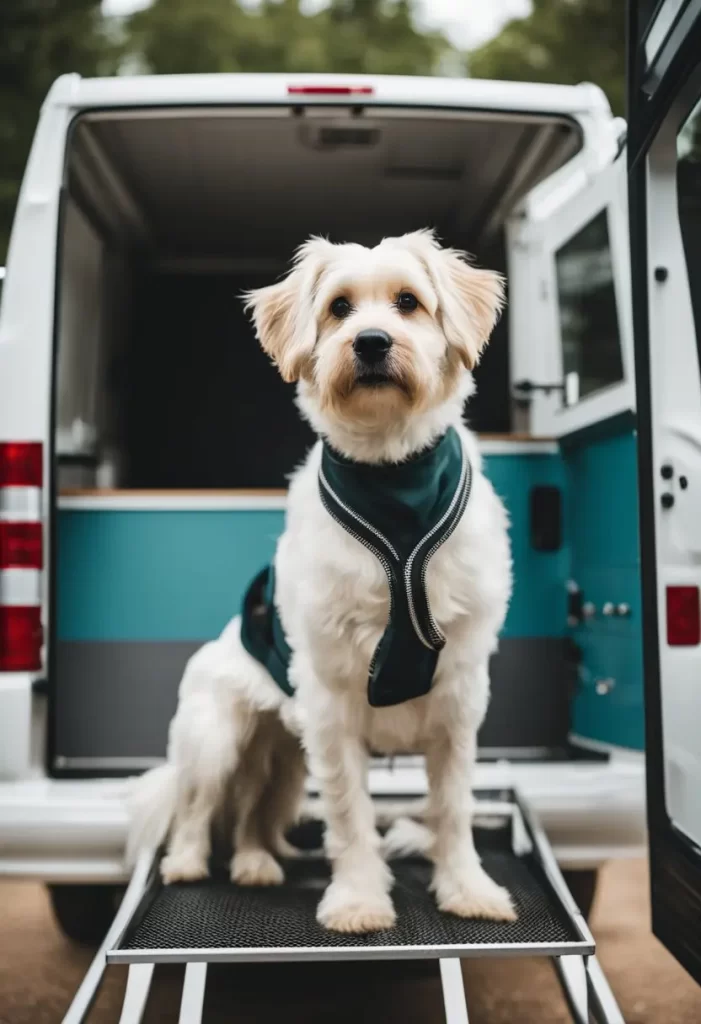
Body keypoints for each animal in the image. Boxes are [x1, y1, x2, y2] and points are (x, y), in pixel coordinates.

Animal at [128, 232, 513, 937]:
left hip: (282, 759)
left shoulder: (459, 697)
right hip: (217, 738)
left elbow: (452, 806)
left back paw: (255, 862)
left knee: (253, 816)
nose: (371, 342)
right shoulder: (333, 706)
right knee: (199, 806)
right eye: (339, 308)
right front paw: (359, 900)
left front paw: (467, 888)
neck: (393, 480)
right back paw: (189, 863)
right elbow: (350, 814)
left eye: (408, 302)